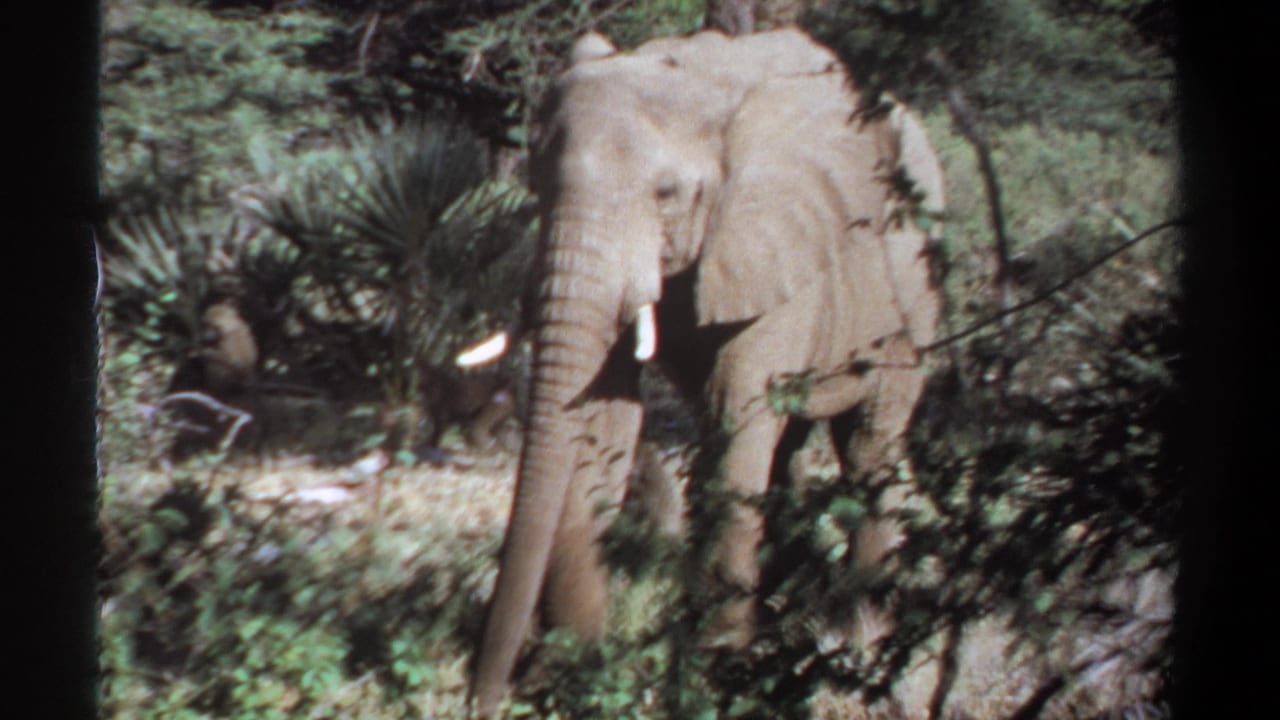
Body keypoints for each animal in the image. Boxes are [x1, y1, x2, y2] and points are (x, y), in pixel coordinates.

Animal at [471, 27, 944, 715]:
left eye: (667, 194)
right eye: (537, 181)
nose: (482, 696)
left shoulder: (778, 239)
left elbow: (735, 421)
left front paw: (714, 682)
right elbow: (606, 417)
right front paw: (579, 671)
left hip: (916, 293)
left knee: (867, 443)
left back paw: (861, 638)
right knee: (791, 450)